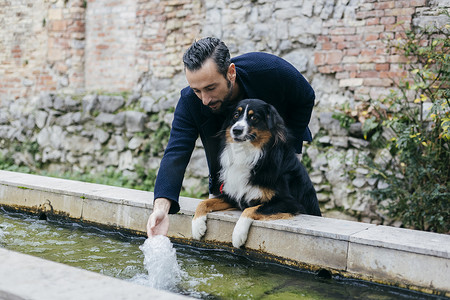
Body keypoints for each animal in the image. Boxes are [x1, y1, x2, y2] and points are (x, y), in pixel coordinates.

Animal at [192, 99, 322, 248]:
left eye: (254, 117)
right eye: (236, 115)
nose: (236, 130)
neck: (249, 152)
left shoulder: (291, 203)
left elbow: (251, 209)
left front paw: (238, 235)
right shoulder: (233, 195)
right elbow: (204, 202)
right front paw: (197, 226)